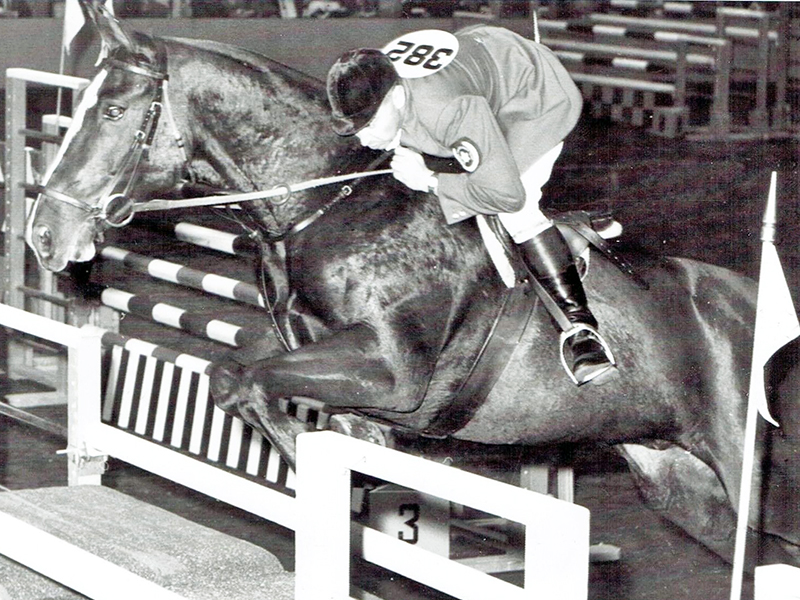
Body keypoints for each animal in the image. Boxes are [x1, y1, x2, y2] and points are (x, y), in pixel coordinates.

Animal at [25, 4, 800, 568]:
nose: (44, 235)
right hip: (681, 484)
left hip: (741, 463)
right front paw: (357, 456)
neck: (325, 202)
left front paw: (339, 470)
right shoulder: (319, 351)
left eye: (113, 113)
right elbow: (247, 378)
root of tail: (749, 306)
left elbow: (243, 379)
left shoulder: (393, 369)